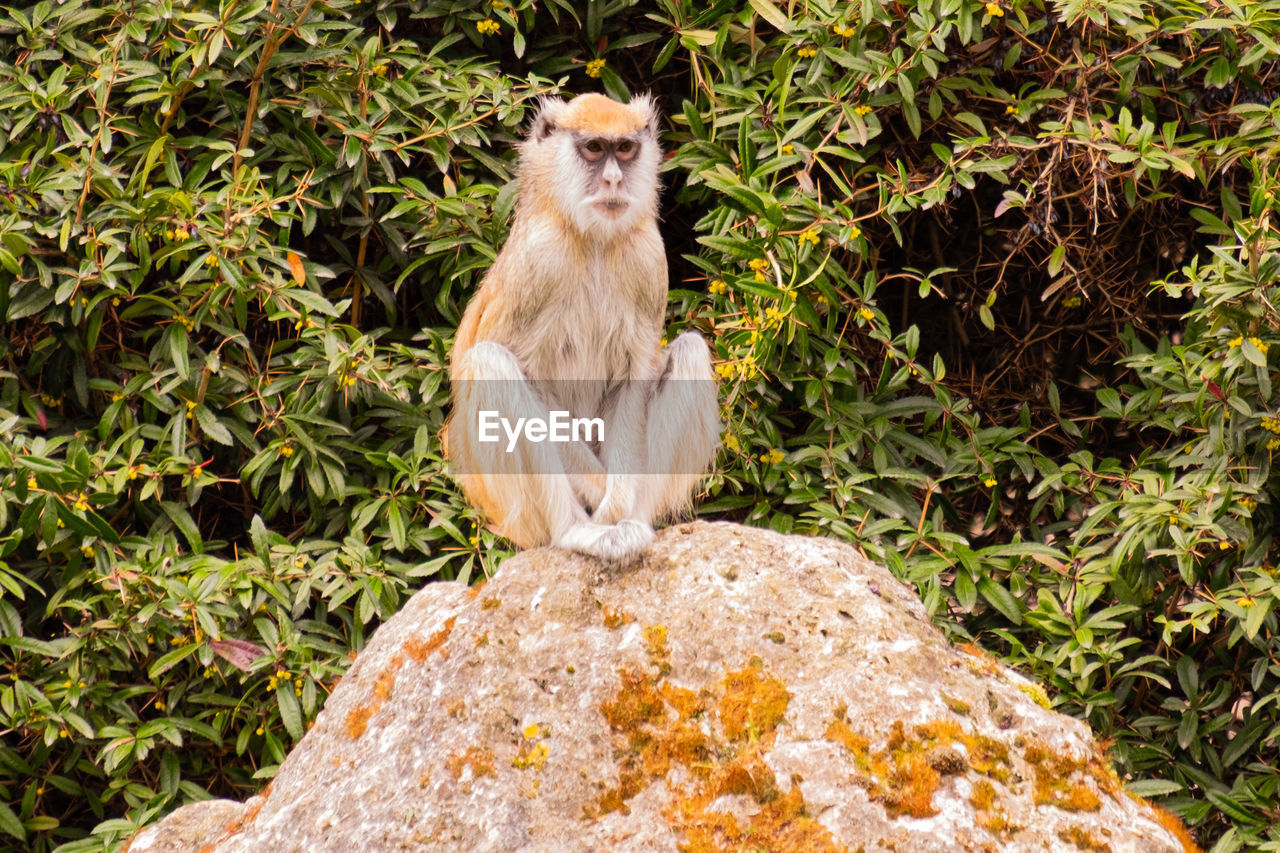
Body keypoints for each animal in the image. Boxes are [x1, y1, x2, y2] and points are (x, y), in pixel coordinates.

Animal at [445, 91, 716, 558]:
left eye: (623, 149)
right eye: (593, 148)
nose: (613, 181)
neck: (592, 240)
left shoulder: (647, 256)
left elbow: (634, 379)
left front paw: (618, 504)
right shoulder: (541, 258)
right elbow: (527, 379)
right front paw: (601, 494)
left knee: (690, 352)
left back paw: (632, 521)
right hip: (507, 506)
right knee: (490, 362)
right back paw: (575, 531)